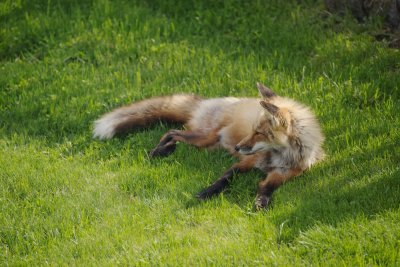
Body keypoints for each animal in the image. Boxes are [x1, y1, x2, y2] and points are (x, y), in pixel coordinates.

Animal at [94, 84, 324, 209]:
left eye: (259, 133)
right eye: (252, 130)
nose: (238, 147)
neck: (279, 155)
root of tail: (206, 101)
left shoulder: (285, 173)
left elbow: (266, 186)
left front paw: (261, 202)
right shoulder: (248, 160)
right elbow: (226, 177)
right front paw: (207, 193)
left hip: (209, 144)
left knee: (175, 134)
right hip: (208, 138)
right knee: (172, 132)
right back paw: (158, 151)